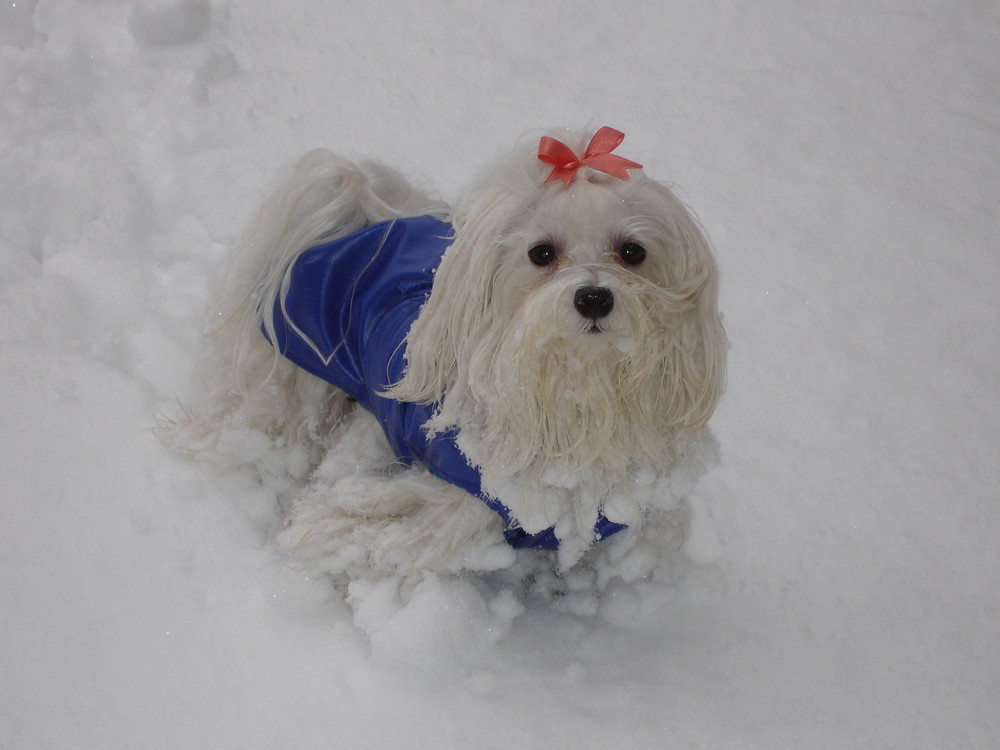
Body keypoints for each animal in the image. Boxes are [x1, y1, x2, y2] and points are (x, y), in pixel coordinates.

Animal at [180, 126, 724, 580]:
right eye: (541, 253)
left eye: (633, 251)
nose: (593, 297)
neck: (574, 396)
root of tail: (363, 218)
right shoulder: (430, 507)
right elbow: (339, 523)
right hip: (298, 384)